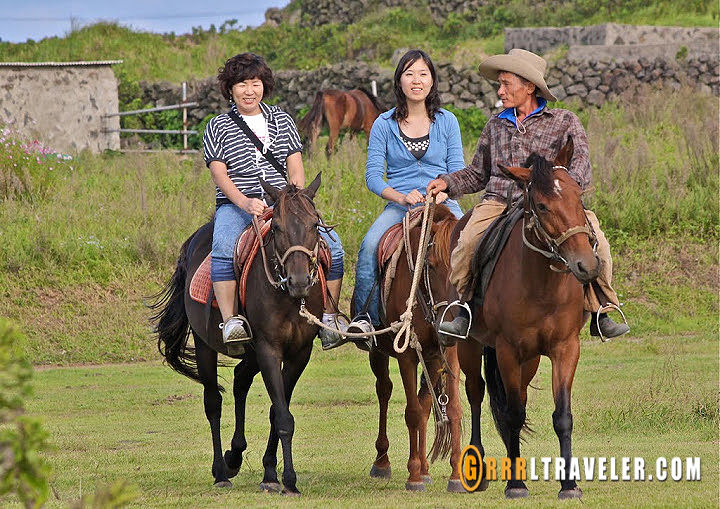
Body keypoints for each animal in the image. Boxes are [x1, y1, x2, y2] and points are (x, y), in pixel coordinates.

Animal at [152, 173, 326, 494]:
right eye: (278, 227)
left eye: (314, 225)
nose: (298, 281)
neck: (288, 297)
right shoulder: (269, 349)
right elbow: (283, 416)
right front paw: (288, 479)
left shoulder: (299, 353)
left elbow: (277, 410)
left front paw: (271, 472)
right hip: (205, 344)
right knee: (213, 403)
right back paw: (221, 471)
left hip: (252, 353)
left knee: (240, 379)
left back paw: (235, 456)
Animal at [362, 202, 464, 492]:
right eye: (429, 265)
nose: (449, 323)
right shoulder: (406, 355)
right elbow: (412, 413)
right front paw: (414, 476)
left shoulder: (447, 354)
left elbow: (451, 410)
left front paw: (455, 476)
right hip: (379, 354)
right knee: (384, 391)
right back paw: (382, 462)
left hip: (431, 358)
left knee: (426, 402)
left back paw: (426, 468)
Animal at [456, 139, 600, 500]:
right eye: (543, 206)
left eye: (578, 197)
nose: (586, 265)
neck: (541, 286)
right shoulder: (508, 351)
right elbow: (512, 414)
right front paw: (515, 485)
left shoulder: (565, 349)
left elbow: (561, 416)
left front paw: (569, 485)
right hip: (470, 347)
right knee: (477, 394)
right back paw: (477, 468)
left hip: (530, 360)